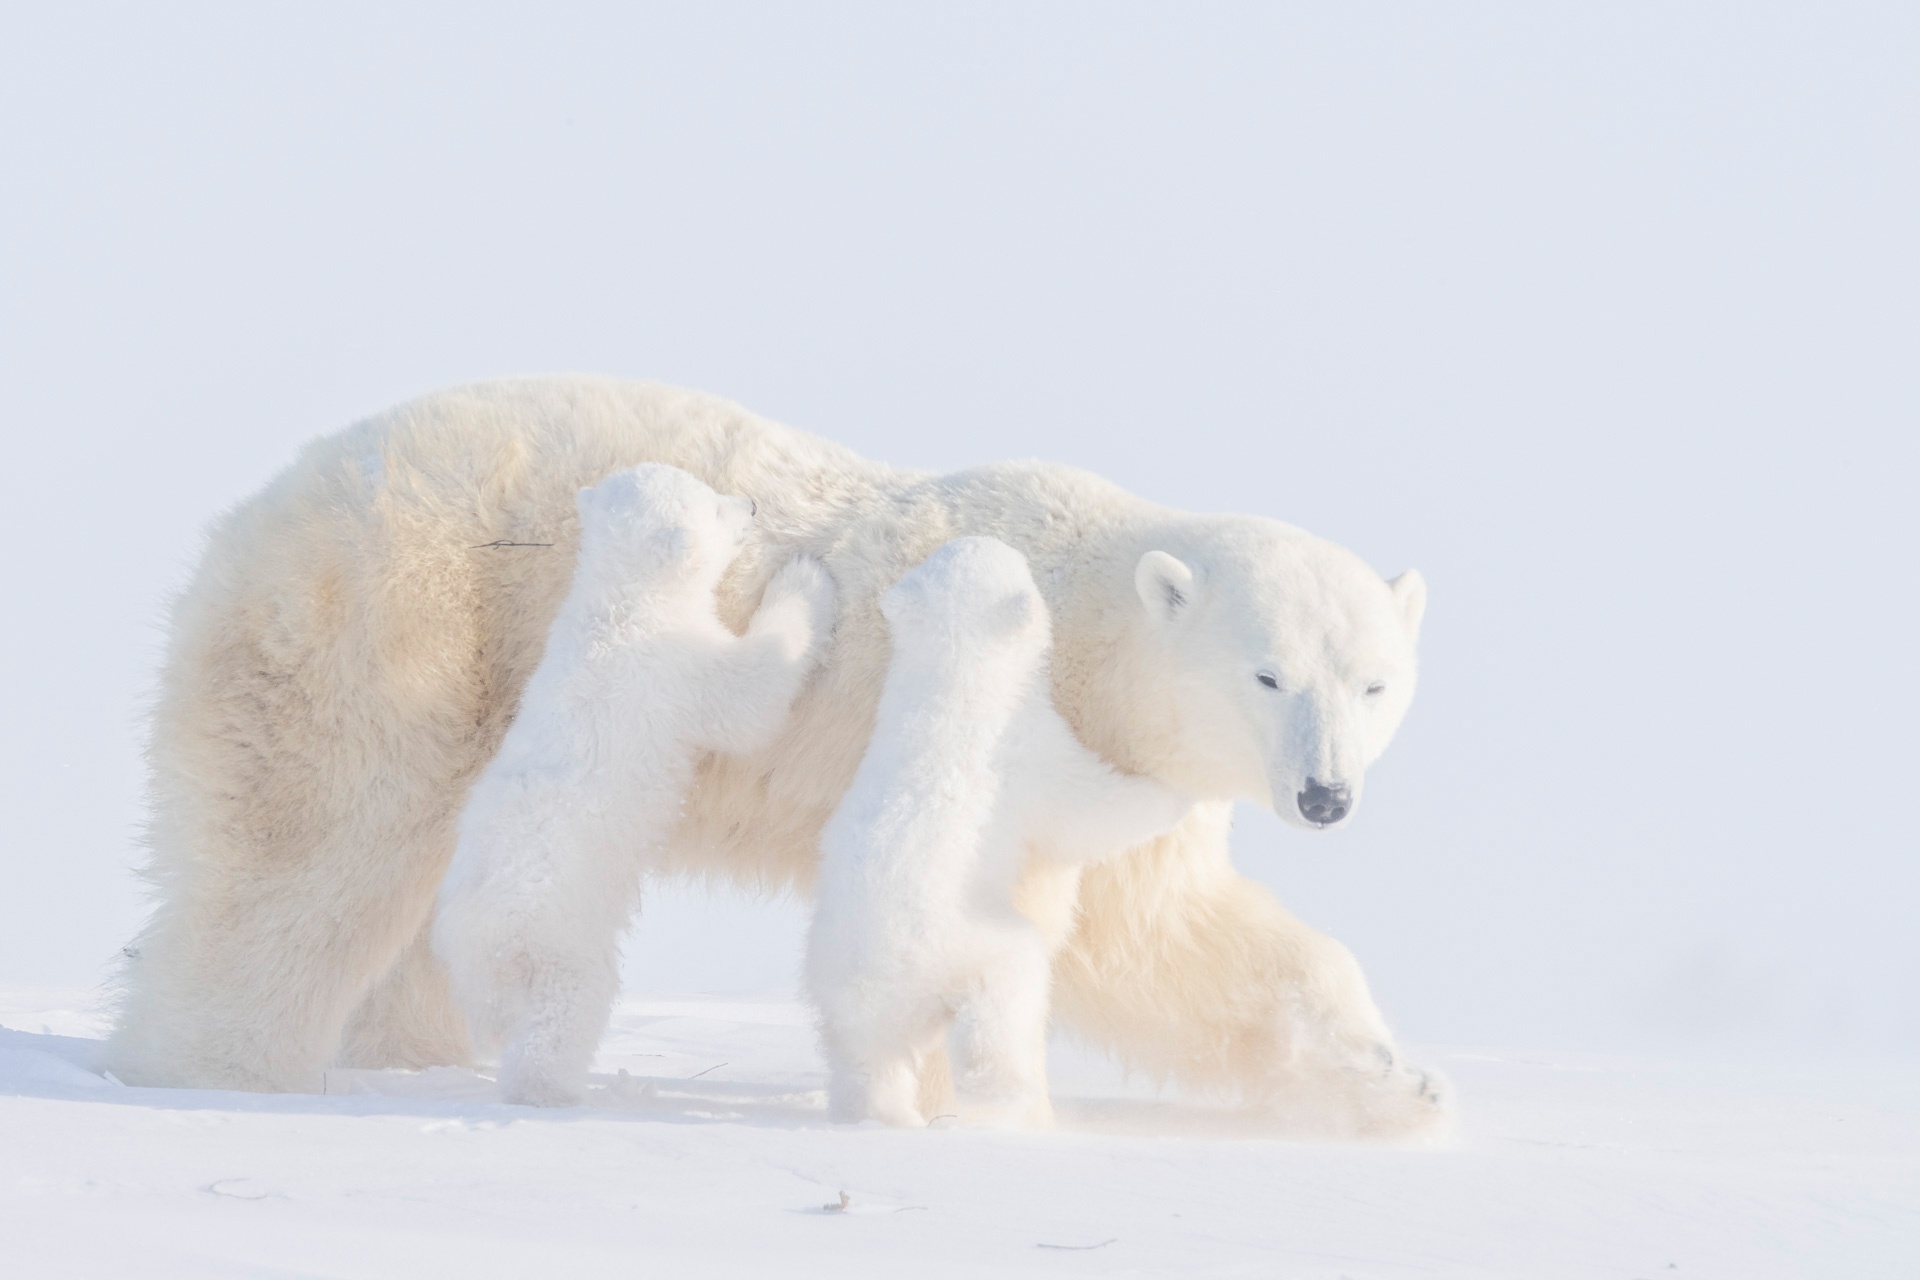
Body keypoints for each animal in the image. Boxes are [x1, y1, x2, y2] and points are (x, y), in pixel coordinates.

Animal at [435, 466, 833, 1105]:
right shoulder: (681, 669)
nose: (750, 504)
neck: (623, 609)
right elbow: (750, 699)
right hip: (557, 931)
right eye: (714, 505)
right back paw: (564, 1090)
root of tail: (472, 930)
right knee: (566, 1010)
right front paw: (806, 576)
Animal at [806, 537, 1182, 1128]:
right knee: (1007, 988)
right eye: (1016, 562)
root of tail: (881, 973)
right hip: (967, 940)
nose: (997, 540)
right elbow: (1083, 810)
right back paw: (1004, 1088)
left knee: (868, 1062)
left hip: (843, 999)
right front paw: (1172, 794)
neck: (950, 683)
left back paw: (881, 1114)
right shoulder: (1027, 747)